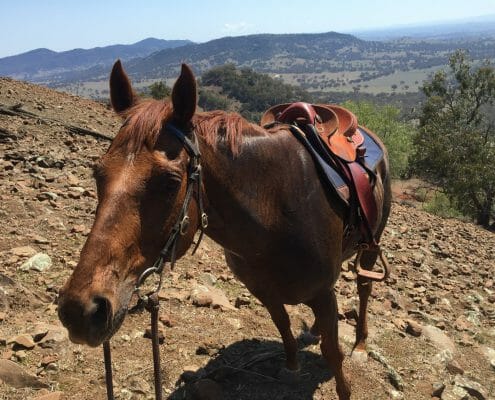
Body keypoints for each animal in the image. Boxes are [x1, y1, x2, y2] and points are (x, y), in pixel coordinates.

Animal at [57, 60, 392, 400]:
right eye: (97, 173)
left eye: (170, 182)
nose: (80, 311)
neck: (275, 214)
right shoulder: (263, 290)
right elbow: (283, 324)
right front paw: (292, 366)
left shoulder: (323, 293)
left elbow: (333, 352)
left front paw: (343, 386)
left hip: (370, 247)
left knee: (365, 287)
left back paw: (360, 344)